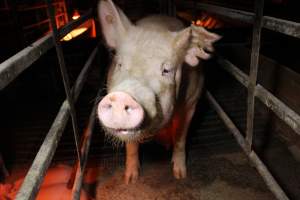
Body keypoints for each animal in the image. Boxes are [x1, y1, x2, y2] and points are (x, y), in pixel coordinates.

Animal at [96, 0, 220, 184]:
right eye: (119, 64)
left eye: (166, 70)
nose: (122, 96)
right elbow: (131, 145)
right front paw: (130, 180)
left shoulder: (192, 102)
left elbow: (181, 137)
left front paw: (180, 175)